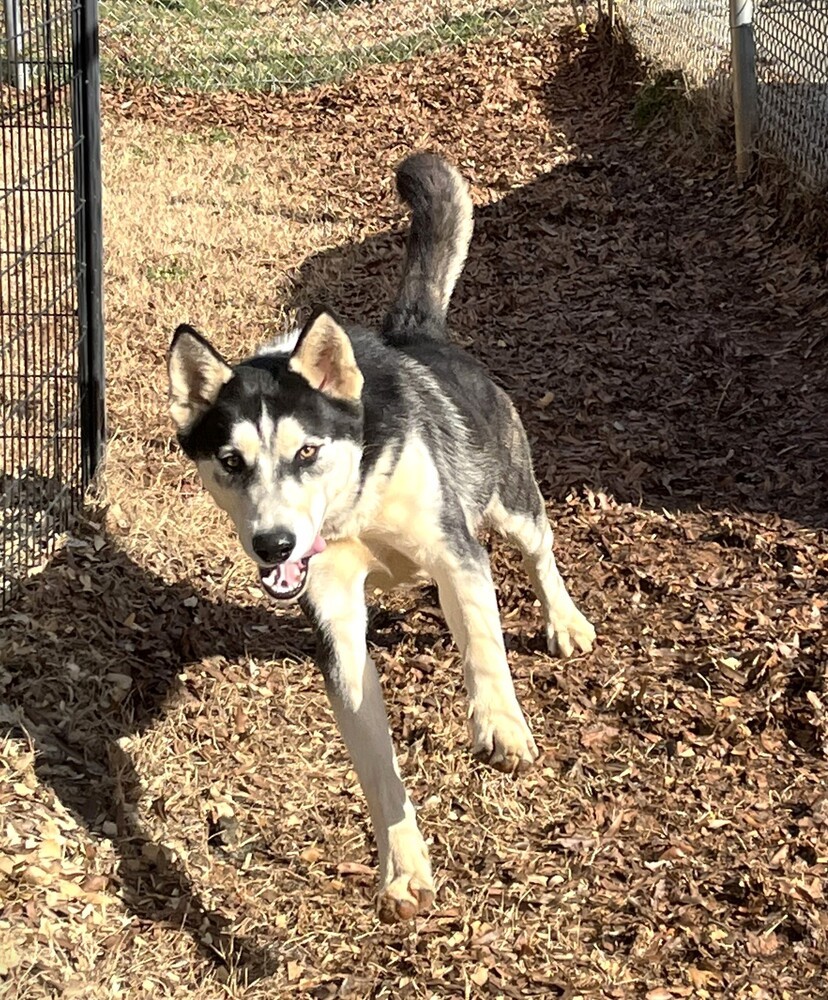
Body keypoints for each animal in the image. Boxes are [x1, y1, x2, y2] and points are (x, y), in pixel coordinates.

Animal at [167, 152, 596, 924]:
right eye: (231, 462)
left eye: (307, 452)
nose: (275, 545)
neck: (352, 504)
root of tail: (417, 332)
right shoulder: (333, 615)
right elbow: (371, 755)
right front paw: (402, 865)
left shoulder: (458, 553)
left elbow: (482, 643)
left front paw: (499, 724)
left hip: (509, 500)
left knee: (539, 550)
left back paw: (565, 621)